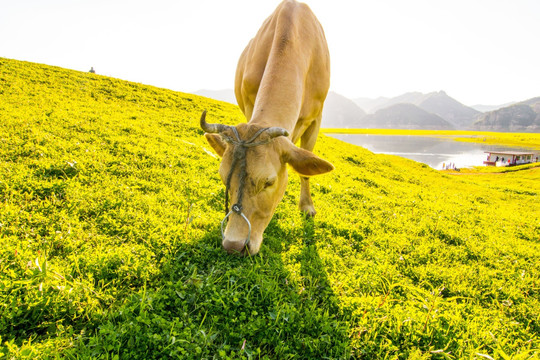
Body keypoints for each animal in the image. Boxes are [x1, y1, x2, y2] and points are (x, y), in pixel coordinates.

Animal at [199, 0, 332, 255]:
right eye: (223, 178)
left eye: (269, 182)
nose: (234, 245)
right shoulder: (250, 104)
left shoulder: (317, 117)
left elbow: (304, 167)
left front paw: (307, 206)